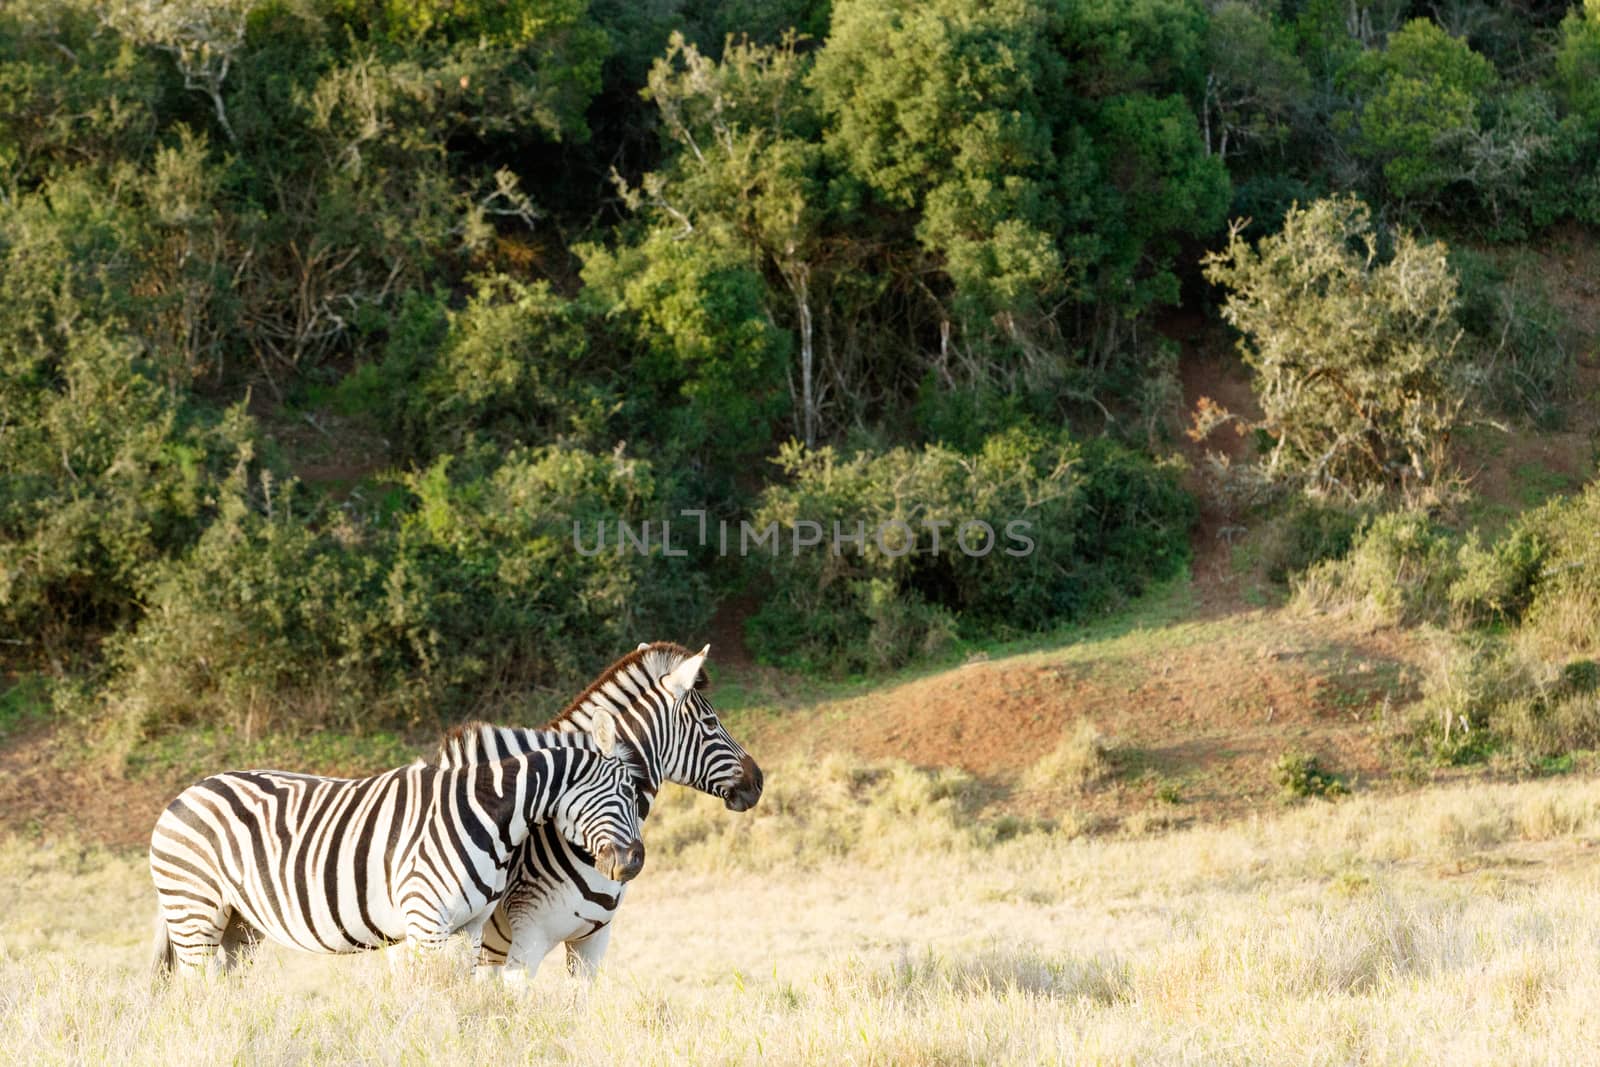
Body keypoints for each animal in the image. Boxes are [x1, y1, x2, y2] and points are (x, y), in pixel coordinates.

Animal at [148, 716, 643, 979]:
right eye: (625, 792)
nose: (634, 863)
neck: (485, 815)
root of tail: (184, 794)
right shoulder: (426, 922)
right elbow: (433, 995)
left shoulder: (469, 926)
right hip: (195, 913)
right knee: (199, 991)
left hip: (238, 924)